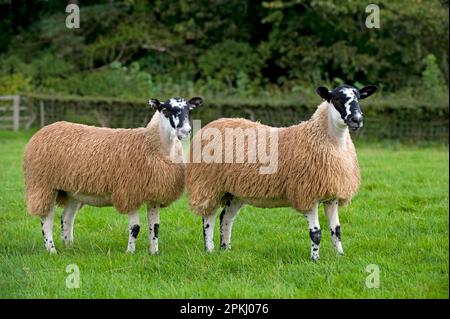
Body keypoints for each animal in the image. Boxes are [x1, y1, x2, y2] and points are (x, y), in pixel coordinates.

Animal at [22, 96, 202, 254]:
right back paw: (52, 250)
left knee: (66, 218)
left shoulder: (154, 194)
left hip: (72, 191)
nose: (186, 131)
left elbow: (155, 227)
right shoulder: (130, 192)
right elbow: (135, 228)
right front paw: (130, 253)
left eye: (189, 110)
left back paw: (70, 247)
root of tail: (43, 130)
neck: (152, 144)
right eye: (165, 109)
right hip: (43, 185)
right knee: (47, 220)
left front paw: (154, 252)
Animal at [185, 85, 378, 262]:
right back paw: (209, 250)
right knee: (208, 218)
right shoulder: (306, 193)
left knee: (226, 218)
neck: (325, 139)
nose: (356, 119)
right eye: (336, 99)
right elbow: (316, 233)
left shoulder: (332, 195)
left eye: (359, 98)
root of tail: (211, 125)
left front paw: (340, 256)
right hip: (208, 184)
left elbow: (336, 230)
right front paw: (314, 260)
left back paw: (225, 250)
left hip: (235, 191)